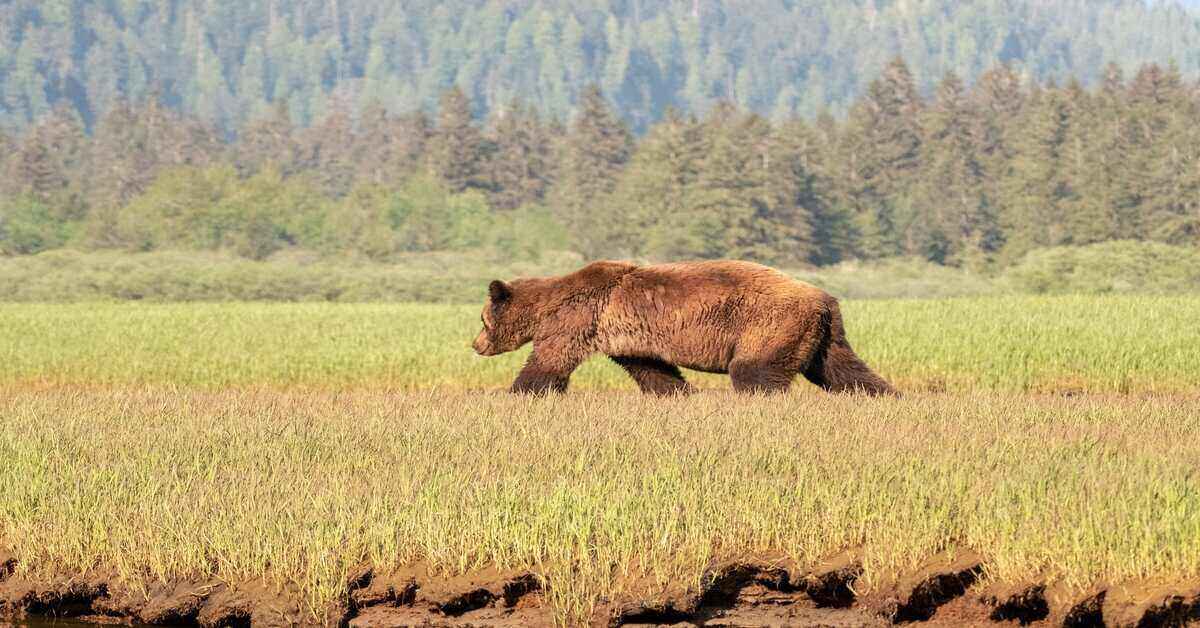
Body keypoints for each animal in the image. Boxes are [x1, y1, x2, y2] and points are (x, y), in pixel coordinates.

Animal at [472, 258, 897, 396]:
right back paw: (886, 396)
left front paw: (520, 392)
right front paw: (677, 393)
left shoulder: (578, 318)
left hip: (769, 323)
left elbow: (549, 362)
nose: (475, 344)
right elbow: (653, 369)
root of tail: (824, 297)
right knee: (843, 370)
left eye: (482, 318)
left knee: (754, 371)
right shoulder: (628, 337)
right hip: (824, 335)